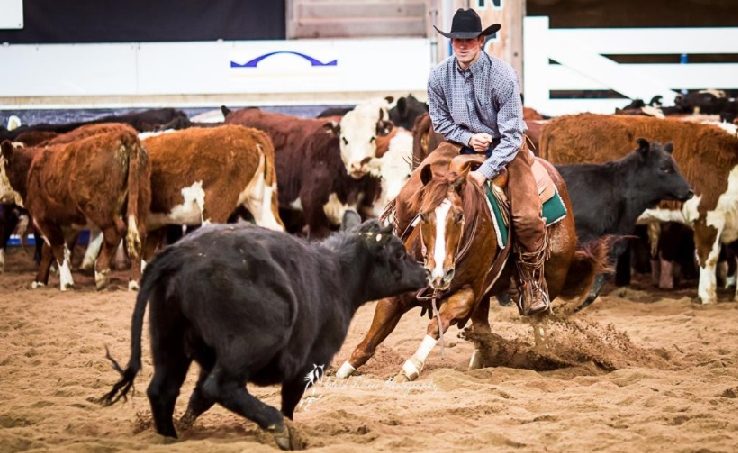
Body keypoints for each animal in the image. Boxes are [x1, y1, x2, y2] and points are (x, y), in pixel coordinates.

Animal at [100, 216, 428, 448]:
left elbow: (197, 399)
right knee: (220, 386)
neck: (336, 274)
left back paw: (170, 436)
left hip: (169, 342)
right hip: (252, 343)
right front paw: (290, 430)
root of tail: (180, 253)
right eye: (399, 253)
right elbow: (288, 402)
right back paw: (278, 428)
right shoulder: (309, 364)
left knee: (164, 390)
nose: (426, 272)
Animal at [336, 143, 608, 380]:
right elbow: (375, 332)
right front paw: (344, 368)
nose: (440, 273)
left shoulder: (467, 294)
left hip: (550, 275)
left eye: (459, 216)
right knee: (483, 324)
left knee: (539, 318)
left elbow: (437, 324)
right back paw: (481, 358)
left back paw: (543, 354)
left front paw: (411, 366)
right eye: (422, 215)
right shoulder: (398, 293)